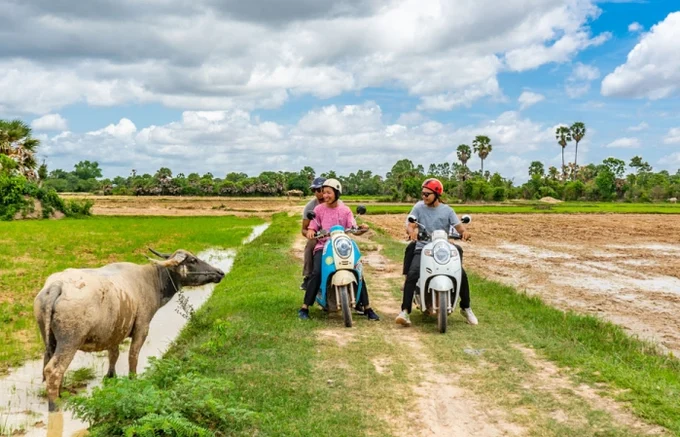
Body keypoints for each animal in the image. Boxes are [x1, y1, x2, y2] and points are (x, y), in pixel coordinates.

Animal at [33, 247, 224, 410]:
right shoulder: (142, 327)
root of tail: (57, 286)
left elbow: (114, 354)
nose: (220, 273)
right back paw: (54, 405)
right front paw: (133, 379)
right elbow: (133, 356)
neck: (151, 281)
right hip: (70, 341)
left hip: (50, 340)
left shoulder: (114, 331)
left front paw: (111, 376)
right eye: (193, 260)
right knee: (53, 370)